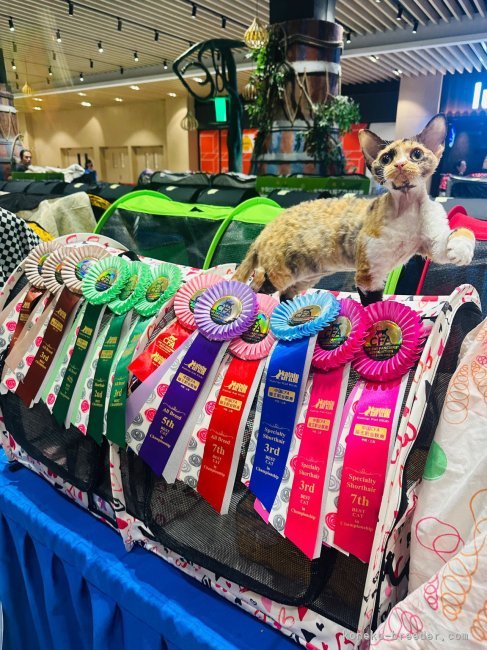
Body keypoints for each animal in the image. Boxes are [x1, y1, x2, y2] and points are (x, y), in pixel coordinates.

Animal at [234, 112, 474, 302]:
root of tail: (267, 229)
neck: (406, 207)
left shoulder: (430, 243)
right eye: (386, 158)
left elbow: (459, 234)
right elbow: (374, 311)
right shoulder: (369, 274)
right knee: (255, 287)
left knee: (285, 295)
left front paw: (461, 248)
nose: (399, 164)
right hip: (280, 271)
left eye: (416, 154)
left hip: (306, 274)